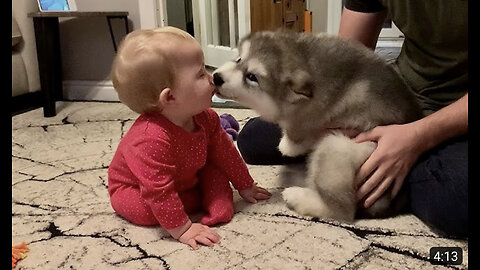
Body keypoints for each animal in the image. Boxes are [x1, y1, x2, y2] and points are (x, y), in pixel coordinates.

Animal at [212, 31, 422, 221]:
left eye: (252, 77)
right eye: (239, 59)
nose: (216, 77)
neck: (307, 61)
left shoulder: (313, 117)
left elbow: (299, 130)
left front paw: (288, 144)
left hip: (337, 148)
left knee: (342, 211)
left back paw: (297, 196)